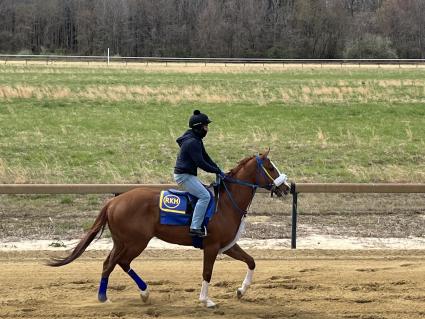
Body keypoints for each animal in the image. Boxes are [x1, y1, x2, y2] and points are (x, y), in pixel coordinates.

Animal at [48, 151, 290, 308]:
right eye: (270, 167)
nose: (286, 187)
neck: (225, 203)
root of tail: (113, 201)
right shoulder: (211, 247)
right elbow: (207, 272)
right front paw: (206, 300)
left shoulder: (227, 246)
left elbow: (251, 261)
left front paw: (241, 291)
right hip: (135, 242)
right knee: (113, 263)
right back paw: (105, 298)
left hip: (123, 241)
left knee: (117, 262)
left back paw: (144, 293)